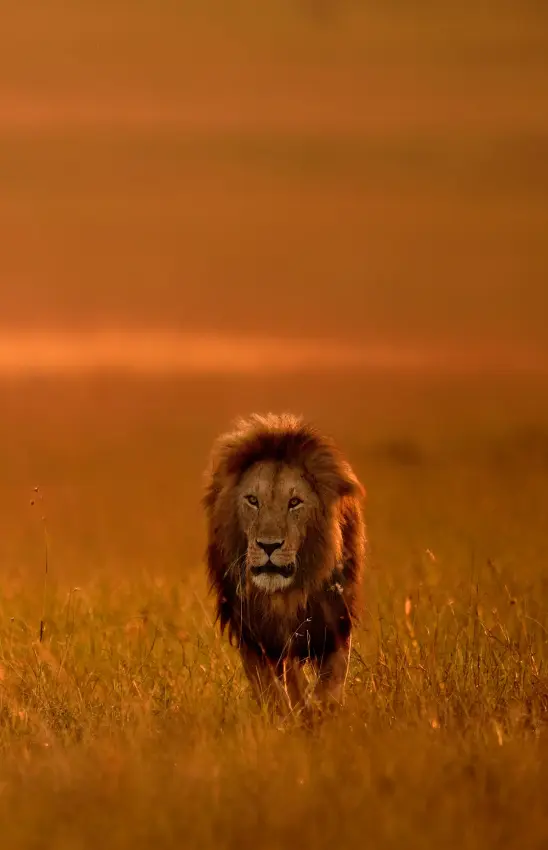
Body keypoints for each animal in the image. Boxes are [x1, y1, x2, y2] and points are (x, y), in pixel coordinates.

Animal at [202, 412, 366, 717]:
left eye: (294, 503)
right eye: (252, 500)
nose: (269, 545)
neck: (284, 596)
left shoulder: (335, 622)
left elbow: (330, 682)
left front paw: (320, 712)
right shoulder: (253, 635)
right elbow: (273, 687)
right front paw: (285, 716)